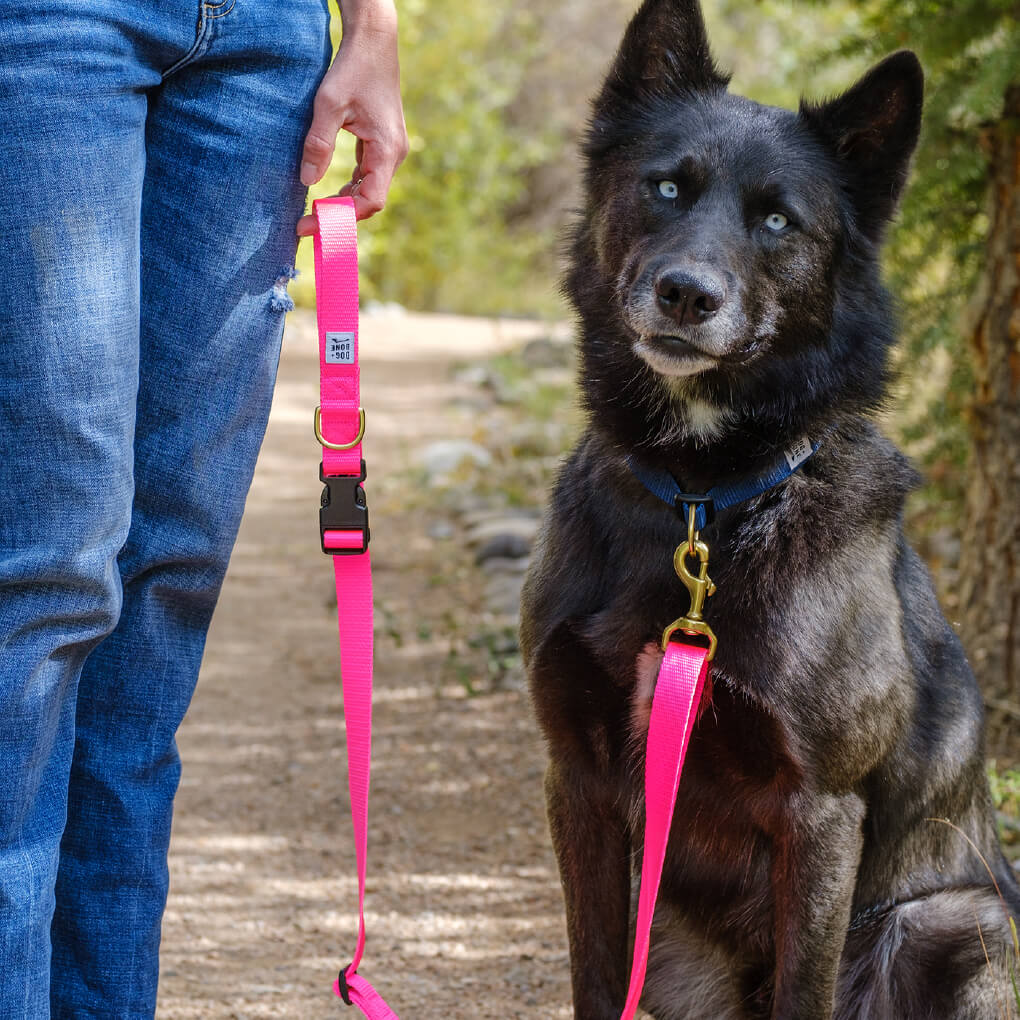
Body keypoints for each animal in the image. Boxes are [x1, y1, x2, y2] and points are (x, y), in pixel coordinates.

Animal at [522, 3, 1015, 1015]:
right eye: (667, 186)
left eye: (779, 219)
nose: (686, 294)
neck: (701, 504)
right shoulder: (577, 779)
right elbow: (595, 976)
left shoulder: (818, 811)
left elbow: (804, 990)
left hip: (953, 919)